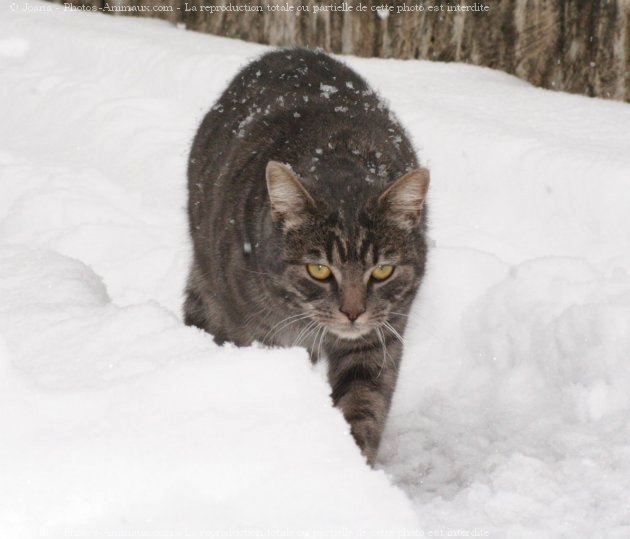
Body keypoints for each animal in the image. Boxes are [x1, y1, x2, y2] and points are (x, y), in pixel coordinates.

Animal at [183, 48, 430, 466]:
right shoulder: (256, 333)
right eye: (318, 270)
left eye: (382, 270)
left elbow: (364, 404)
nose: (353, 312)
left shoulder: (378, 338)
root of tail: (289, 51)